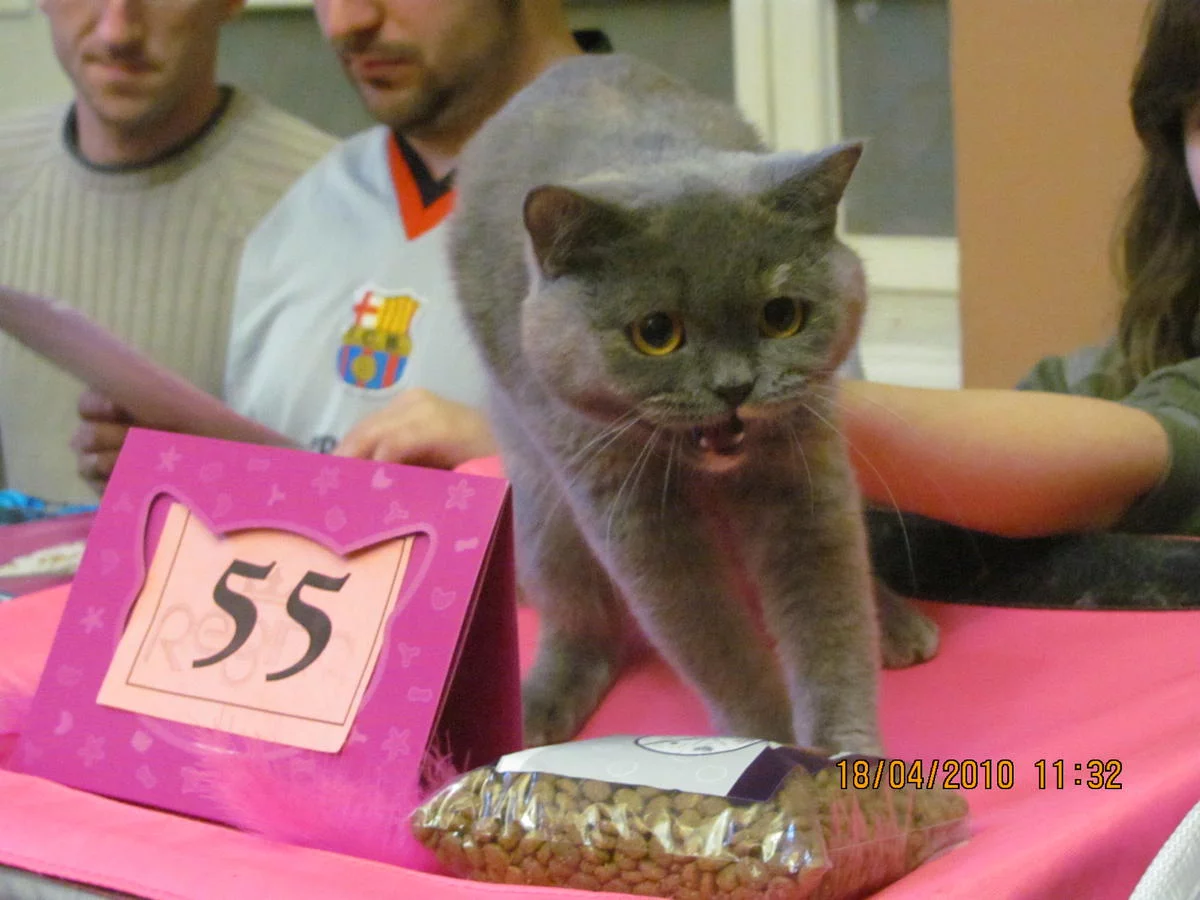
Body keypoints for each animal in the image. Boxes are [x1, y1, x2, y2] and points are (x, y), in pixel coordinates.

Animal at [450, 54, 936, 754]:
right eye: (657, 332)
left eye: (782, 316)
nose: (735, 387)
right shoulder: (628, 507)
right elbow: (713, 641)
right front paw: (764, 745)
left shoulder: (804, 471)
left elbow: (830, 616)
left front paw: (845, 756)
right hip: (540, 504)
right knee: (580, 617)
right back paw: (541, 706)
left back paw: (897, 626)